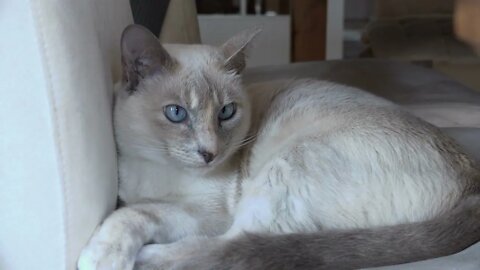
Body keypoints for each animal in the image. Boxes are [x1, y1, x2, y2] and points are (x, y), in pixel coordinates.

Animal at [77, 24, 478, 270]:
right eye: (177, 113)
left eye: (226, 112)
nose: (210, 153)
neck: (153, 166)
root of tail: (473, 184)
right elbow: (134, 207)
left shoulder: (205, 213)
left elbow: (134, 214)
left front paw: (100, 256)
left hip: (285, 170)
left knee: (233, 247)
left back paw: (146, 258)